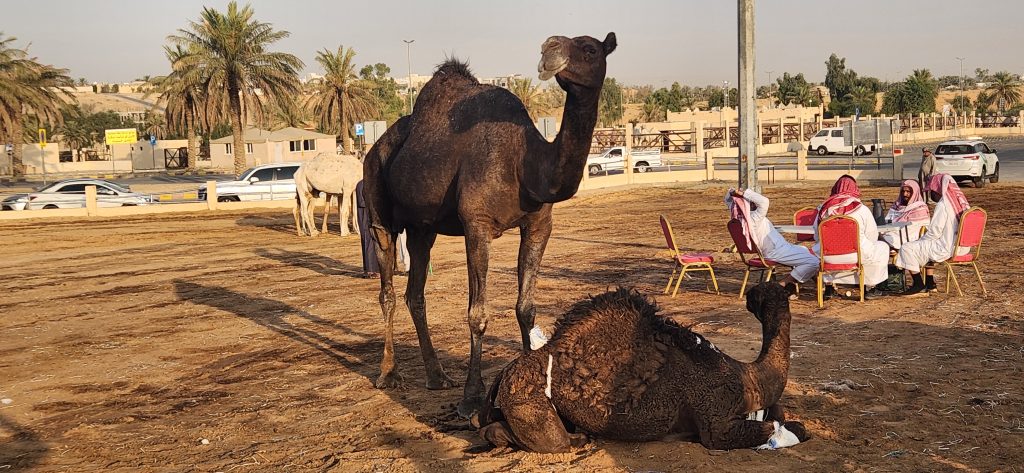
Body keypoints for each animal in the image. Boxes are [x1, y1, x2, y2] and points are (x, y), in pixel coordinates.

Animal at [363, 33, 616, 416]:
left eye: (590, 49)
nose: (549, 48)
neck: (525, 164)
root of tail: (373, 146)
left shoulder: (539, 224)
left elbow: (526, 308)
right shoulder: (477, 224)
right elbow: (477, 313)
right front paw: (471, 398)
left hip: (423, 227)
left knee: (415, 293)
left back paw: (437, 375)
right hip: (378, 203)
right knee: (387, 287)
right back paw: (388, 374)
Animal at [476, 284, 809, 453]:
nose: (750, 295)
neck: (745, 375)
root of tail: (503, 375)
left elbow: (780, 415)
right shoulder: (716, 423)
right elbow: (776, 427)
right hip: (527, 400)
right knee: (551, 441)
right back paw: (579, 439)